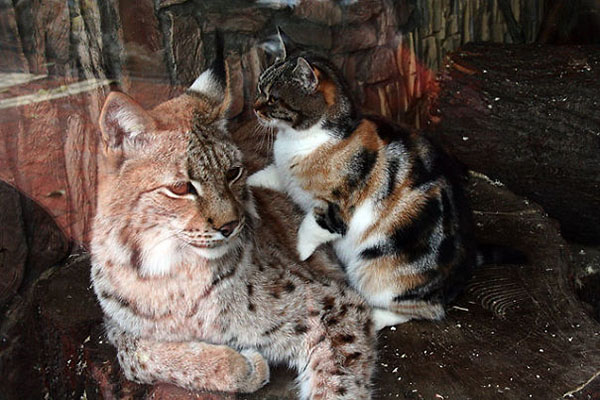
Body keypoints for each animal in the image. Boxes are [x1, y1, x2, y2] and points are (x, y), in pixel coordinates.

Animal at [90, 44, 376, 400]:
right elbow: (135, 356)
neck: (172, 270)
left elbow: (336, 386)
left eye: (233, 173)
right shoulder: (117, 327)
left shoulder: (334, 302)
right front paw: (239, 365)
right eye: (181, 188)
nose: (230, 226)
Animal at [248, 29, 478, 330]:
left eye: (273, 98)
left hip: (375, 271)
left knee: (426, 310)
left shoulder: (336, 210)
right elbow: (267, 175)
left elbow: (310, 228)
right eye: (259, 86)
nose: (253, 107)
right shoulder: (285, 176)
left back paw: (377, 315)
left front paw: (300, 254)